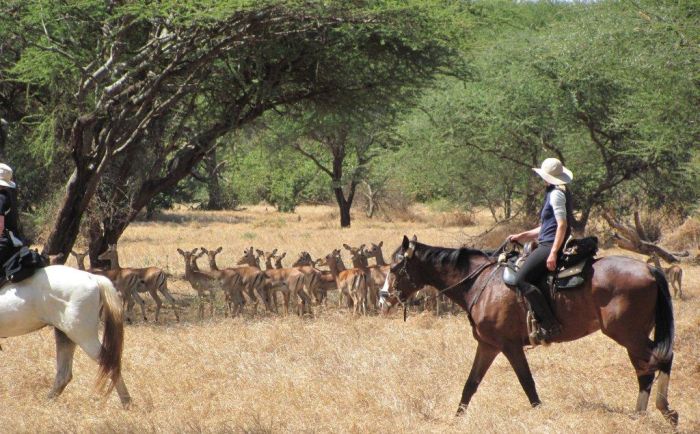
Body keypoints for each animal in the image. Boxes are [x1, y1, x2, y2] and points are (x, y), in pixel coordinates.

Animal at [0, 264, 131, 406]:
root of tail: (92, 277)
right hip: (64, 334)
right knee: (64, 374)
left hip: (83, 336)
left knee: (109, 364)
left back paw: (127, 403)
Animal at [378, 236, 680, 426]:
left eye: (395, 267)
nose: (383, 299)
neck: (481, 283)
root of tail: (650, 270)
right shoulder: (488, 345)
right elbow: (470, 384)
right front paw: (456, 419)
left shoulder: (509, 346)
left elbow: (528, 384)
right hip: (632, 337)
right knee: (645, 370)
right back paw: (639, 417)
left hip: (628, 335)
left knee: (660, 359)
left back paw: (666, 412)